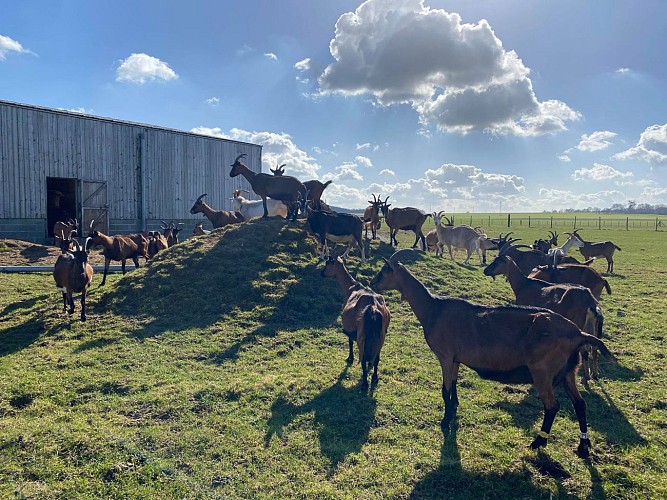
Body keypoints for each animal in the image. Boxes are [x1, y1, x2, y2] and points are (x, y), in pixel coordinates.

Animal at [322, 256, 392, 388]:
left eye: (327, 264)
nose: (321, 273)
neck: (351, 286)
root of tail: (373, 307)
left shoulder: (350, 327)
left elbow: (350, 342)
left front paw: (350, 358)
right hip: (381, 334)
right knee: (376, 358)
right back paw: (374, 378)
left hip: (361, 335)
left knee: (363, 359)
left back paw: (364, 384)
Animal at [486, 252, 604, 380]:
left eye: (498, 261)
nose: (485, 271)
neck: (523, 284)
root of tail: (590, 301)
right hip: (591, 324)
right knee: (594, 347)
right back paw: (594, 374)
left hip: (579, 323)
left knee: (585, 349)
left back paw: (587, 376)